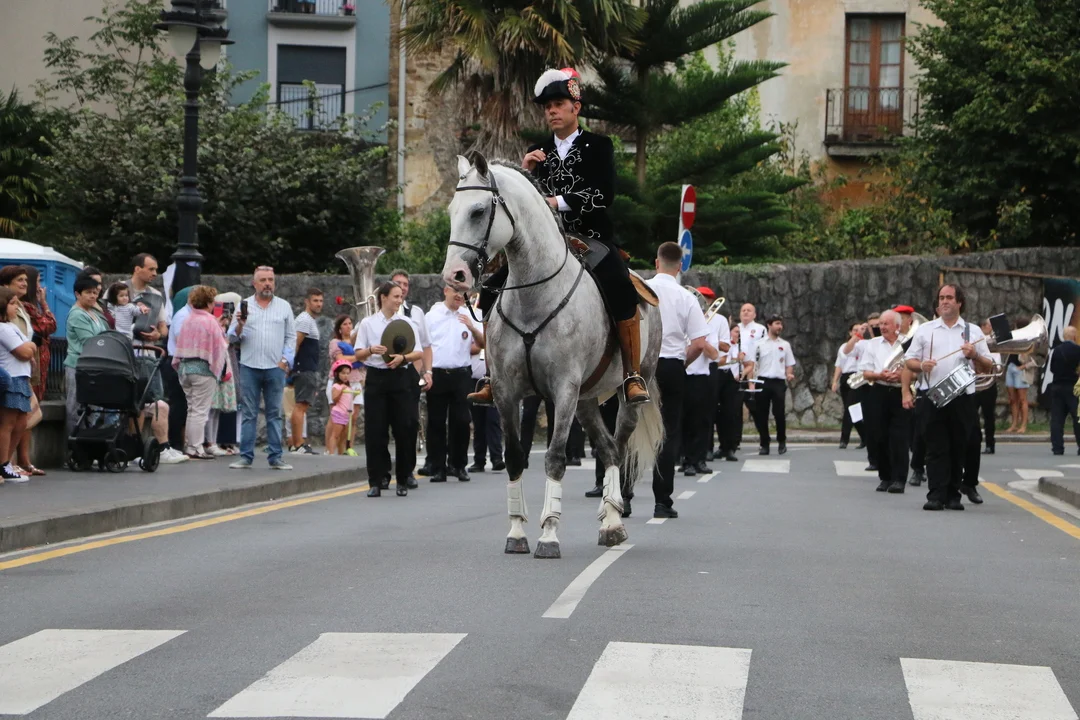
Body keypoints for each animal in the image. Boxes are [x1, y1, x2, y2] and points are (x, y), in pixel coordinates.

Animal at [442, 152, 664, 559]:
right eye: (453, 210)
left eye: (479, 211)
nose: (456, 275)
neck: (535, 293)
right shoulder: (507, 391)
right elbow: (515, 457)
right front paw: (517, 532)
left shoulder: (563, 390)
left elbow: (555, 458)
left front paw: (548, 535)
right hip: (587, 400)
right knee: (608, 449)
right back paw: (609, 521)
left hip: (624, 392)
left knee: (619, 444)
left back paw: (614, 521)